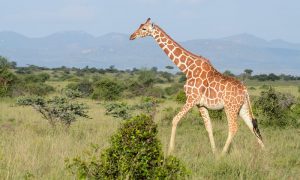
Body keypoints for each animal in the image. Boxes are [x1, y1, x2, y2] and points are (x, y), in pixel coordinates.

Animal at [129, 18, 264, 156]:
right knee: (252, 125)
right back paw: (264, 152)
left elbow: (175, 119)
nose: (132, 36)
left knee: (234, 128)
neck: (188, 69)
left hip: (230, 107)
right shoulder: (201, 104)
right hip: (242, 107)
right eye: (140, 25)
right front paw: (214, 152)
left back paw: (223, 154)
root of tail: (245, 90)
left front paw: (170, 150)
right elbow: (209, 127)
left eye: (144, 29)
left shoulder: (191, 99)